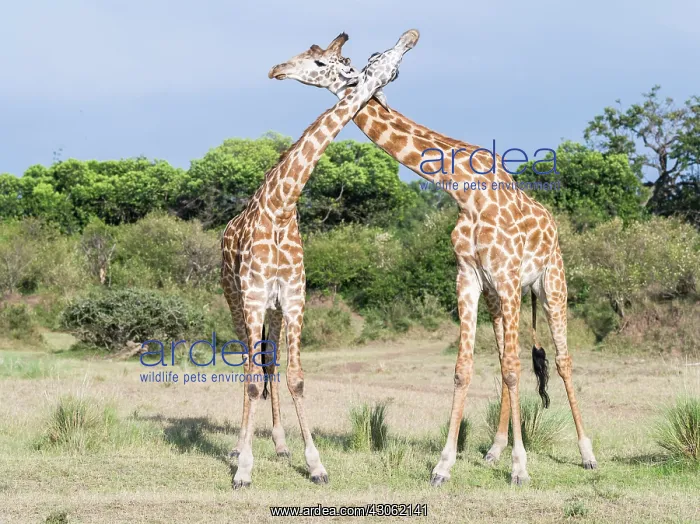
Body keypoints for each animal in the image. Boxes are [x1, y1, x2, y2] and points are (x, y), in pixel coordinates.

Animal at [221, 29, 419, 489]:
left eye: (320, 62)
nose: (276, 69)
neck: (281, 206)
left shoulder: (293, 300)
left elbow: (295, 377)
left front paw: (315, 464)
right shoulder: (254, 297)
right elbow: (252, 379)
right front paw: (243, 470)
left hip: (272, 312)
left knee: (269, 362)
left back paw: (279, 445)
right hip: (235, 301)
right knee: (248, 367)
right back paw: (240, 447)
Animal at [268, 33, 597, 486]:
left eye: (320, 61)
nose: (277, 69)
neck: (464, 190)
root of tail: (553, 226)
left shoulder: (508, 275)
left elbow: (515, 369)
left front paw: (520, 468)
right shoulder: (470, 277)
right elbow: (466, 368)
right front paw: (444, 465)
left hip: (550, 283)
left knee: (561, 361)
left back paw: (586, 453)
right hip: (499, 298)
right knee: (504, 361)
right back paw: (494, 450)